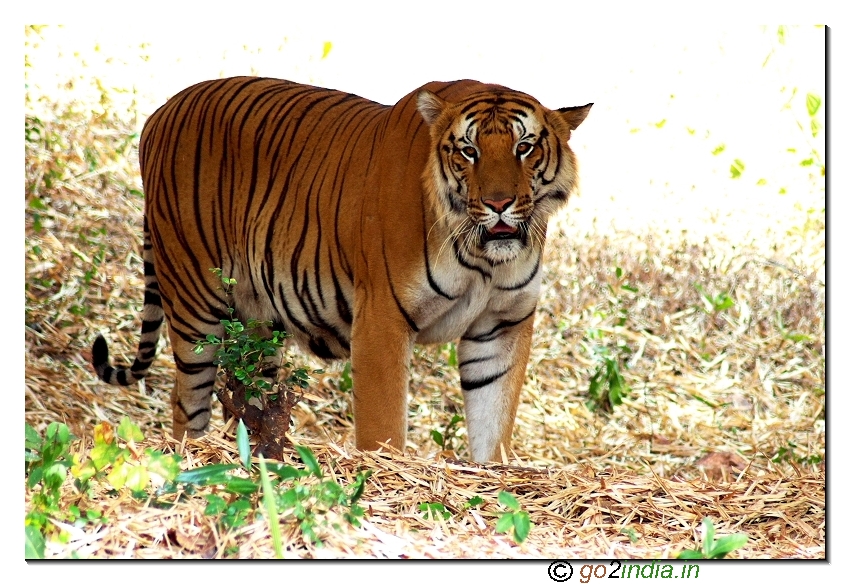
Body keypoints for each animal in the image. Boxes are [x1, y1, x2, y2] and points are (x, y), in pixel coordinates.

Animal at [91, 76, 591, 463]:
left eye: (524, 147)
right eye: (468, 151)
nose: (499, 203)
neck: (484, 260)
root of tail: (160, 111)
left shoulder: (501, 326)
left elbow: (494, 424)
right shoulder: (382, 321)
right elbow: (383, 426)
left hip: (258, 327)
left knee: (250, 400)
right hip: (195, 302)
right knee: (186, 399)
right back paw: (190, 458)